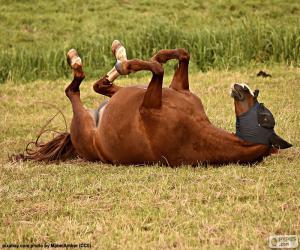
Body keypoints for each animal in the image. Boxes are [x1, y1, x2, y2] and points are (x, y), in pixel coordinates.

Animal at [18, 41, 290, 166]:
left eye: (265, 116)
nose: (242, 86)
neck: (194, 130)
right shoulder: (179, 90)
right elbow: (180, 55)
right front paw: (157, 55)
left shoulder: (147, 105)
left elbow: (158, 69)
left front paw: (127, 65)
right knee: (101, 86)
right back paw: (117, 53)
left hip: (82, 121)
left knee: (73, 89)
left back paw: (85, 60)